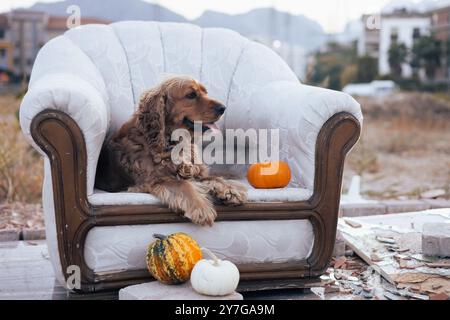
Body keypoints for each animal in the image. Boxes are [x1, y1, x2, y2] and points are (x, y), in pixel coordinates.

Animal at [94, 75, 246, 225]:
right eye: (191, 94)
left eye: (205, 92)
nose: (223, 108)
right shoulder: (151, 181)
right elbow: (184, 184)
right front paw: (201, 207)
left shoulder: (195, 171)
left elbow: (214, 177)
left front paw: (230, 190)